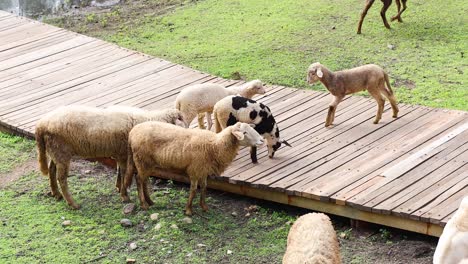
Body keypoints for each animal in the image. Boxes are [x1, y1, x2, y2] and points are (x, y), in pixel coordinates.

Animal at [35, 105, 185, 208]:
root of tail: (41, 125)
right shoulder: (124, 153)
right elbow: (124, 173)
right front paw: (124, 195)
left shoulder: (119, 153)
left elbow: (119, 171)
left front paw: (119, 187)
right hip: (61, 151)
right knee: (61, 178)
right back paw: (72, 203)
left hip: (55, 150)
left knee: (51, 170)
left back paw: (56, 194)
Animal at [123, 121, 264, 214]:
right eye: (244, 132)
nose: (262, 140)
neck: (215, 146)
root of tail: (132, 133)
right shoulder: (195, 170)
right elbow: (194, 190)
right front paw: (189, 210)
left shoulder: (203, 170)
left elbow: (204, 188)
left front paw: (204, 207)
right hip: (142, 160)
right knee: (139, 180)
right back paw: (144, 204)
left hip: (147, 163)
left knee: (144, 181)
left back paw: (150, 201)